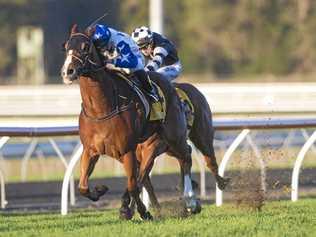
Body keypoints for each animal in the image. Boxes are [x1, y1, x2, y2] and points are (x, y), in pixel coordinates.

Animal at [61, 25, 200, 219]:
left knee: (185, 156)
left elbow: (133, 185)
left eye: (85, 46)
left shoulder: (127, 150)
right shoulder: (90, 150)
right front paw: (101, 189)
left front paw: (140, 212)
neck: (101, 109)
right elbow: (83, 186)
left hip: (172, 136)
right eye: (66, 46)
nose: (68, 71)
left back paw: (191, 202)